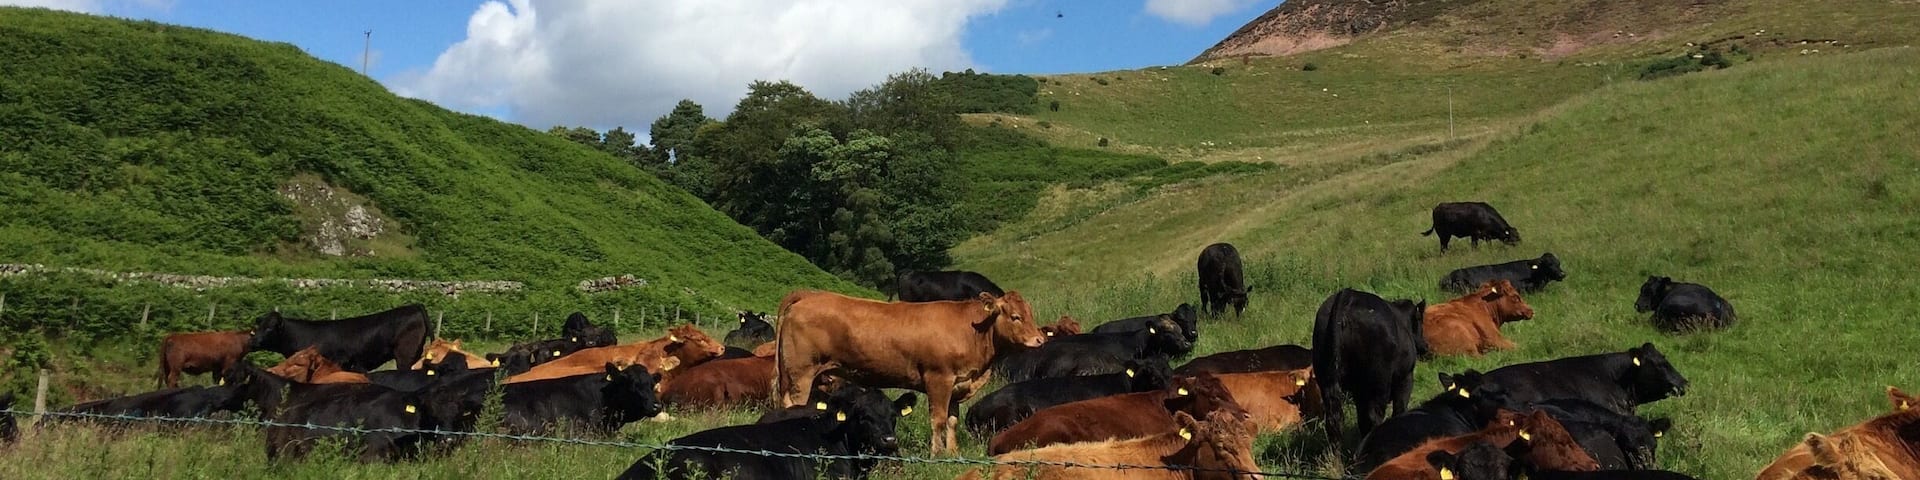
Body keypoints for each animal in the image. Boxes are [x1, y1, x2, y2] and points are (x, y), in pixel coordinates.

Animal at [776, 290, 1046, 454]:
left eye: (1031, 313)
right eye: (1015, 316)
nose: (1039, 340)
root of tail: (808, 295)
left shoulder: (957, 384)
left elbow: (952, 420)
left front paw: (953, 452)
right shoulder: (938, 379)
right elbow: (938, 419)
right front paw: (936, 453)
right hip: (801, 374)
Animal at [1313, 288, 1428, 449]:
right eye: (1420, 320)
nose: (1425, 346)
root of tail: (1349, 295)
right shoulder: (1405, 377)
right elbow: (1399, 408)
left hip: (1327, 379)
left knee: (1334, 420)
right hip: (1378, 383)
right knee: (1373, 418)